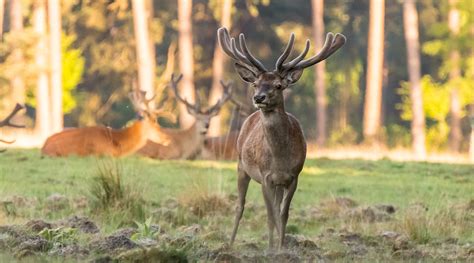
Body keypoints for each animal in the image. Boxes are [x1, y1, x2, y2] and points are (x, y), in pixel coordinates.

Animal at [218, 27, 344, 252]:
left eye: (278, 85)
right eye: (256, 84)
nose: (259, 98)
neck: (280, 158)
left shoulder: (293, 177)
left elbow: (283, 215)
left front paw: (281, 247)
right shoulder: (265, 176)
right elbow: (270, 216)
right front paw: (270, 249)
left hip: (275, 182)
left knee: (275, 208)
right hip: (241, 165)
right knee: (240, 206)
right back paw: (230, 244)